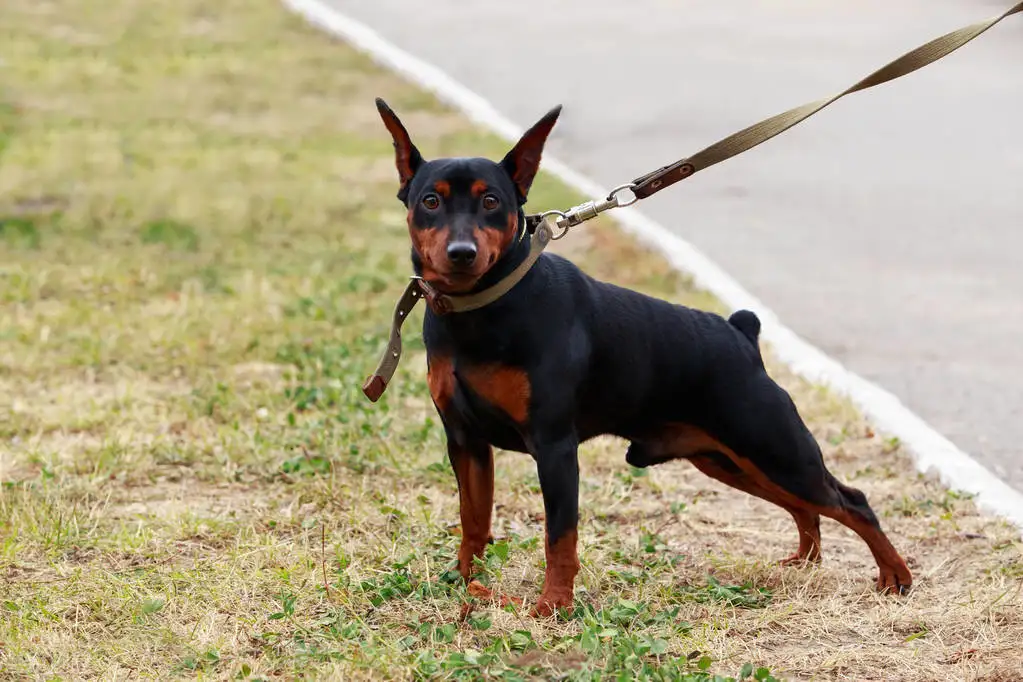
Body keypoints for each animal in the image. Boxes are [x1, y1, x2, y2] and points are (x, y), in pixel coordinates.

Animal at [374, 97, 912, 617]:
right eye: (430, 201)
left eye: (491, 201)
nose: (461, 252)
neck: (484, 307)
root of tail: (742, 335)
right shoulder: (465, 441)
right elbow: (473, 519)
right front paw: (464, 582)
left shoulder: (554, 446)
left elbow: (559, 536)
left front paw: (553, 607)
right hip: (728, 460)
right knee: (806, 507)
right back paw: (804, 562)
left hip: (772, 447)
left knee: (850, 502)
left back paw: (895, 578)